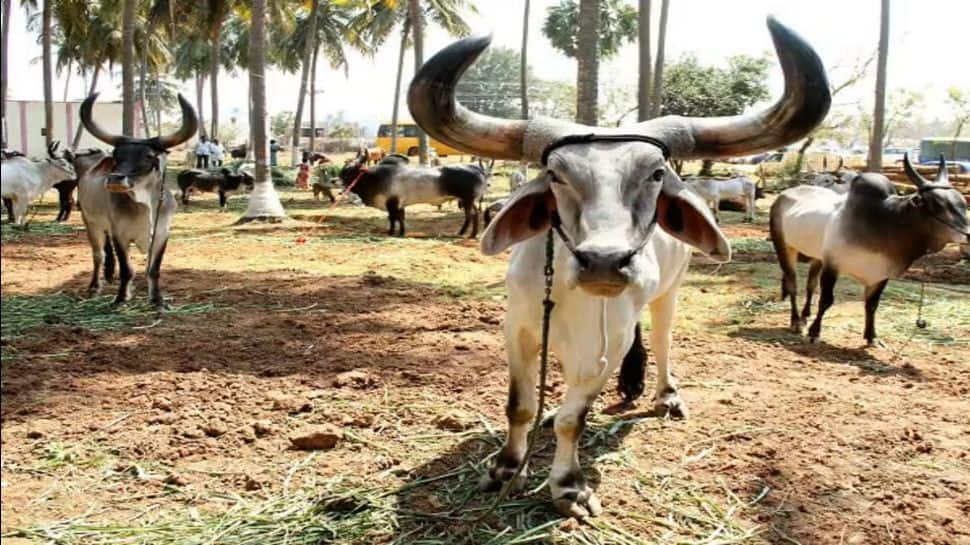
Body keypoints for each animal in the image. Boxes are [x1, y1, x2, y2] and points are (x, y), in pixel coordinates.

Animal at [77, 92, 197, 308]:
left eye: (148, 156)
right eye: (117, 154)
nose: (115, 179)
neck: (145, 205)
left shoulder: (161, 234)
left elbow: (153, 269)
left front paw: (158, 300)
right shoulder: (119, 234)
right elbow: (127, 269)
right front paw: (121, 298)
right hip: (90, 222)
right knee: (98, 255)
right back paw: (94, 286)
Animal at [338, 156, 488, 238]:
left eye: (349, 171)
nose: (337, 181)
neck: (373, 178)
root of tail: (477, 169)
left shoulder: (391, 203)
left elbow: (393, 218)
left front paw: (392, 232)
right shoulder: (399, 204)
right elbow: (400, 218)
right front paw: (401, 232)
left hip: (467, 200)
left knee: (471, 216)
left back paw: (469, 234)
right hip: (469, 201)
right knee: (473, 215)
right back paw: (465, 233)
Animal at [408, 18, 830, 519]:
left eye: (655, 174)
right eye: (556, 175)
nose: (604, 261)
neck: (569, 292)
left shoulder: (607, 347)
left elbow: (575, 419)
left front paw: (569, 486)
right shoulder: (519, 328)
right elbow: (520, 406)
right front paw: (506, 468)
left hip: (669, 294)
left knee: (663, 343)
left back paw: (666, 395)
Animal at [770, 153, 968, 347]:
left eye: (963, 203)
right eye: (937, 205)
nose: (968, 234)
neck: (884, 222)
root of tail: (784, 194)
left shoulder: (881, 274)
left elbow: (872, 304)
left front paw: (872, 337)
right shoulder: (832, 266)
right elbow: (826, 300)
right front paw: (814, 333)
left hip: (817, 256)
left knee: (810, 286)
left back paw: (804, 317)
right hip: (784, 246)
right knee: (792, 283)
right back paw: (796, 322)